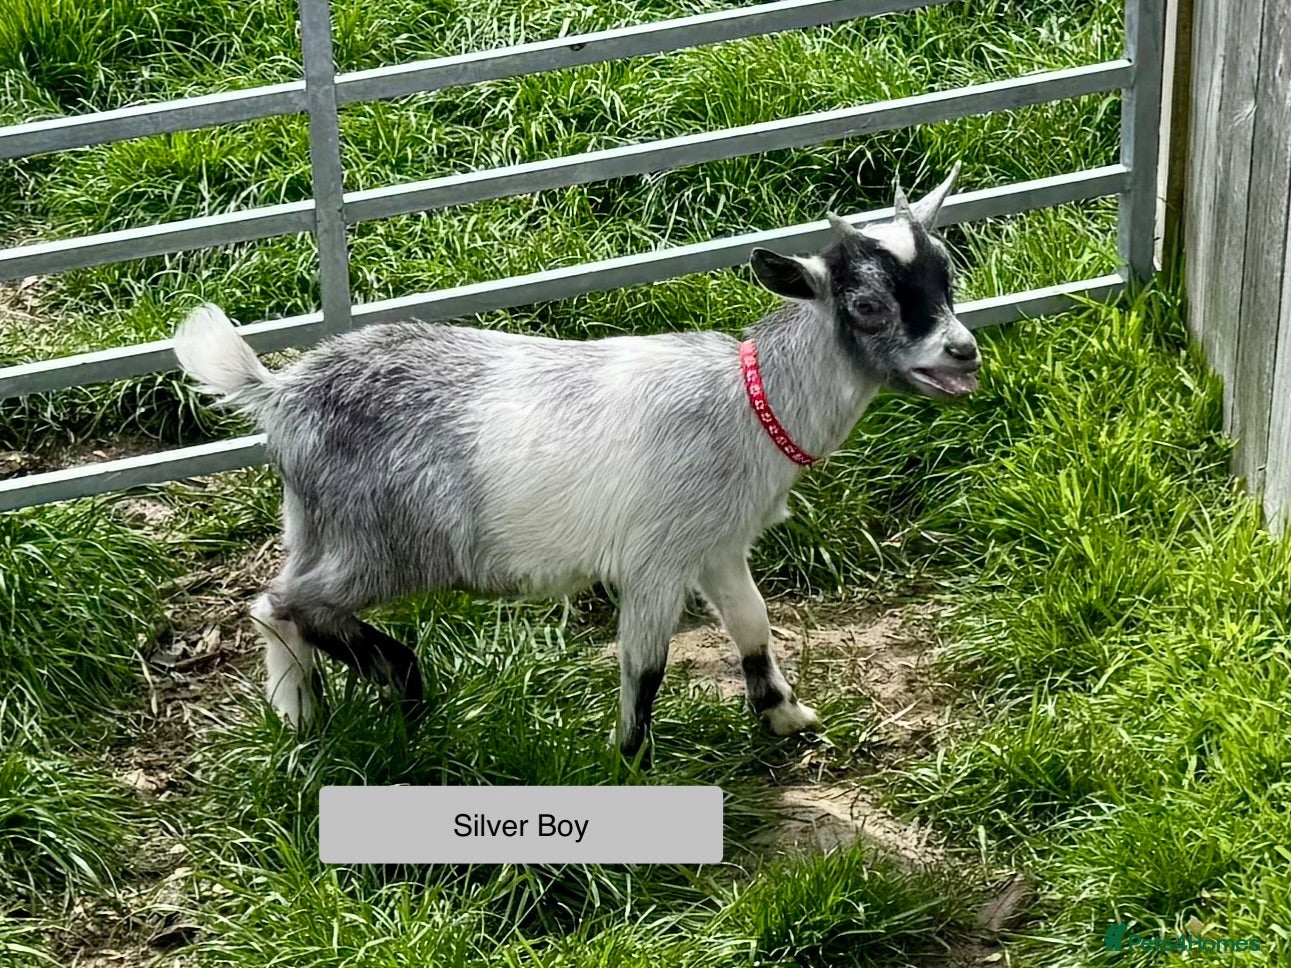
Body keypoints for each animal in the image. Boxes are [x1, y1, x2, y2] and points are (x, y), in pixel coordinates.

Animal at [173, 165, 980, 758]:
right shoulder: (657, 557)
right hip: (382, 544)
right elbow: (644, 666)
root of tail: (281, 393)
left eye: (946, 278)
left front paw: (786, 716)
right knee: (294, 603)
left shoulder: (717, 545)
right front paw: (631, 763)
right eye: (867, 305)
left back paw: (299, 714)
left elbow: (753, 625)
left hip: (313, 526)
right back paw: (402, 688)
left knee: (273, 603)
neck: (749, 403)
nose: (963, 353)